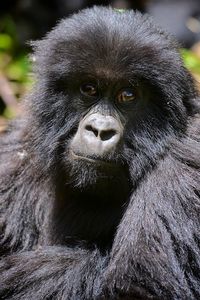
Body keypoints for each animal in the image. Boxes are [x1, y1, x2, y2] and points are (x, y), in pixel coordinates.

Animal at [0, 5, 200, 300]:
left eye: (127, 95)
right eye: (89, 89)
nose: (99, 130)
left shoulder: (184, 164)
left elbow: (135, 289)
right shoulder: (16, 153)